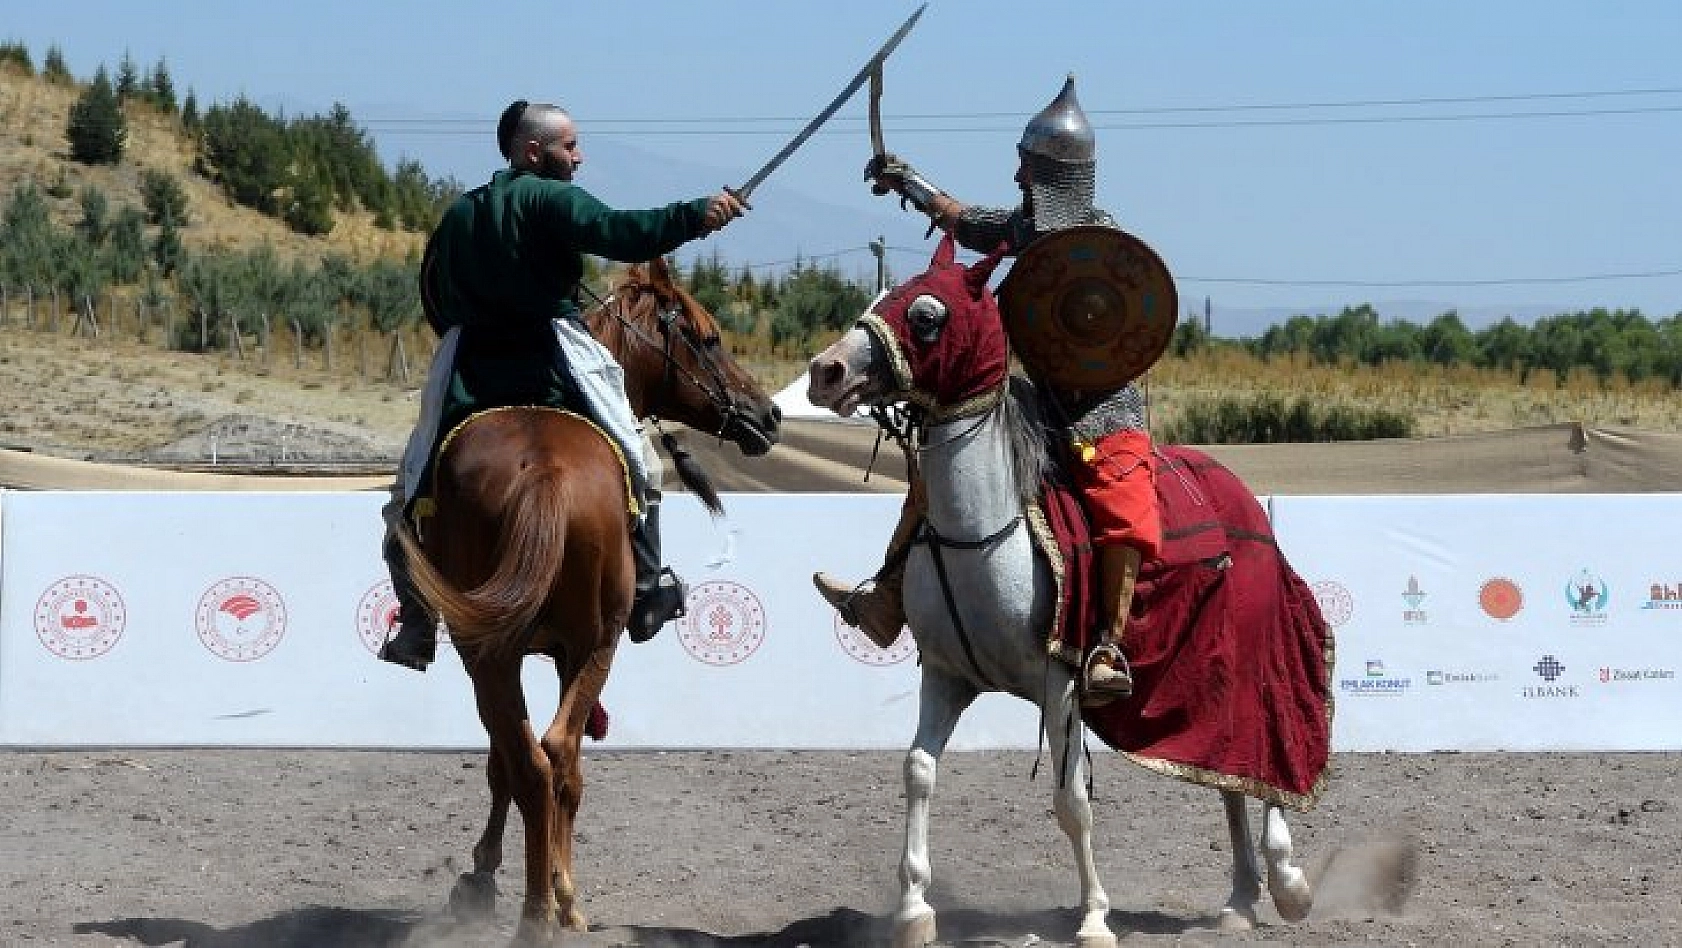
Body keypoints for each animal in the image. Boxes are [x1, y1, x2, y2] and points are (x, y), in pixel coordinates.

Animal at [396, 255, 777, 941]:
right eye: (709, 339)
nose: (768, 415)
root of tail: (543, 471)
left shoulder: (527, 653)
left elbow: (506, 760)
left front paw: (489, 876)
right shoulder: (569, 651)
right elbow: (541, 764)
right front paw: (521, 879)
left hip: (491, 650)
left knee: (530, 759)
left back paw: (537, 910)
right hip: (591, 644)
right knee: (554, 756)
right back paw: (556, 903)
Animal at [807, 237, 1332, 948]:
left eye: (927, 315)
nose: (826, 371)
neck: (982, 534)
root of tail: (1243, 500)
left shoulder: (1061, 682)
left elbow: (1072, 801)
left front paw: (1094, 918)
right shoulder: (944, 675)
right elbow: (917, 771)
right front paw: (914, 909)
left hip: (1253, 658)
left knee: (1270, 752)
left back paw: (1287, 882)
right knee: (1231, 775)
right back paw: (1241, 898)